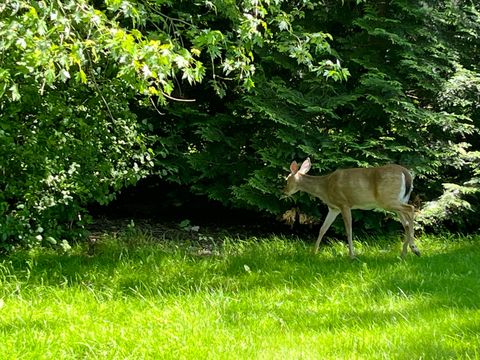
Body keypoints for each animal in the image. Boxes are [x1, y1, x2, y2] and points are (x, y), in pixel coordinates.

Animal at [284, 158, 420, 258]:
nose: (284, 191)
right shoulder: (333, 208)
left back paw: (414, 249)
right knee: (406, 223)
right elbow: (323, 229)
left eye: (286, 180)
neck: (325, 187)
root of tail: (407, 174)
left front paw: (352, 255)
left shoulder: (344, 204)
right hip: (398, 201)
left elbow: (348, 230)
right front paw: (313, 252)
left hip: (388, 200)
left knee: (411, 209)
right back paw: (405, 253)